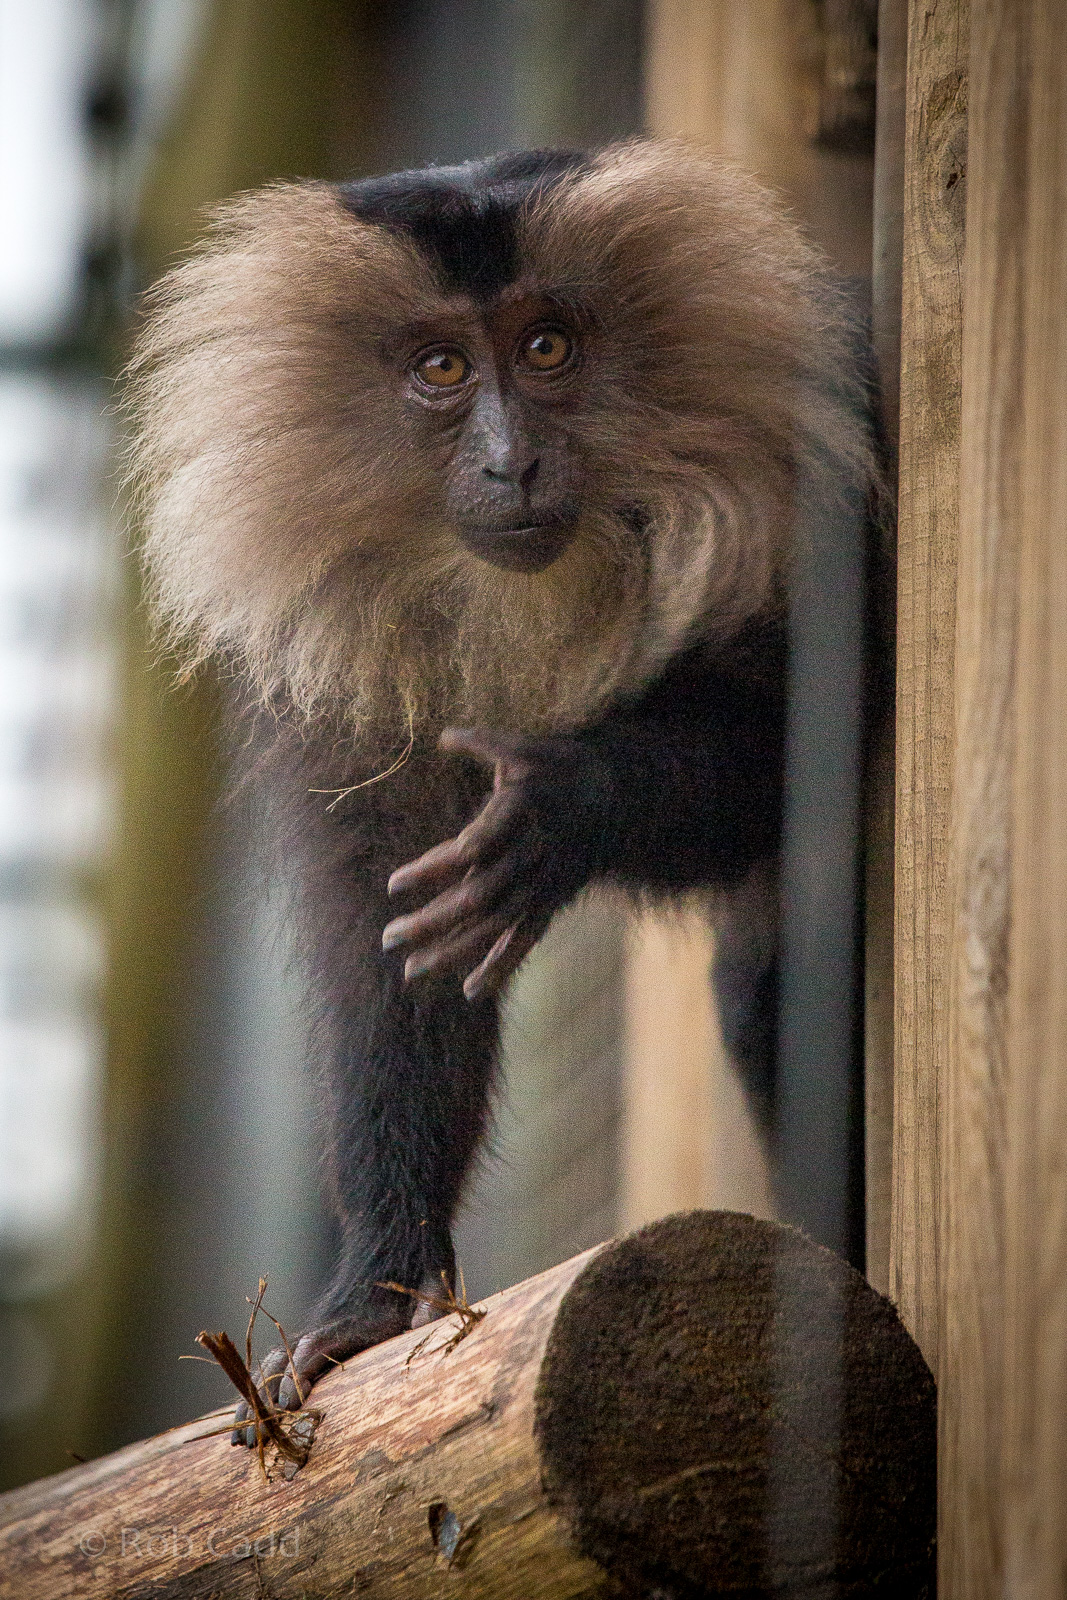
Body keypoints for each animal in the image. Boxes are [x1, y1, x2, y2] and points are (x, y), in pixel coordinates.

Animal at [124, 140, 881, 1436]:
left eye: (545, 348)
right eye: (439, 367)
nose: (507, 460)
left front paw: (561, 808)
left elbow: (804, 745)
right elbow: (385, 935)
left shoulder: (807, 479)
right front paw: (375, 1288)